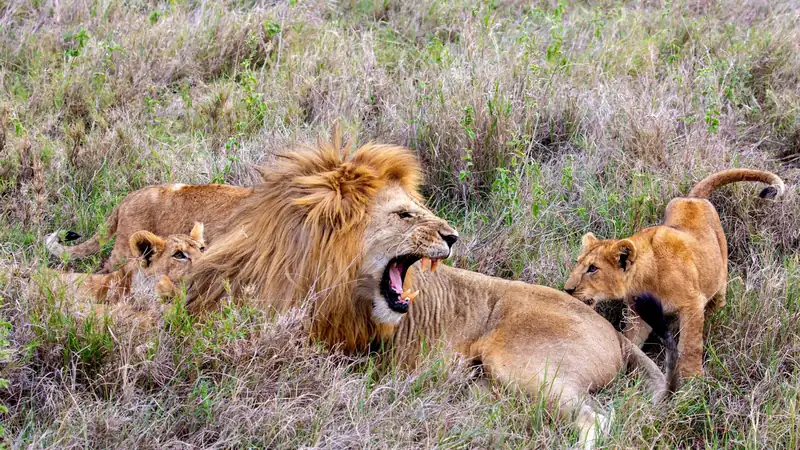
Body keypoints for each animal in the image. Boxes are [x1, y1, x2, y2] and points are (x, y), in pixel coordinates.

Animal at [564, 168, 785, 378]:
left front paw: (692, 380)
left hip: (720, 275)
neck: (644, 278)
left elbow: (690, 346)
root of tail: (692, 198)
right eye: (578, 263)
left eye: (593, 268)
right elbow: (632, 340)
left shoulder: (692, 303)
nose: (567, 290)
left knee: (718, 299)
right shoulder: (639, 313)